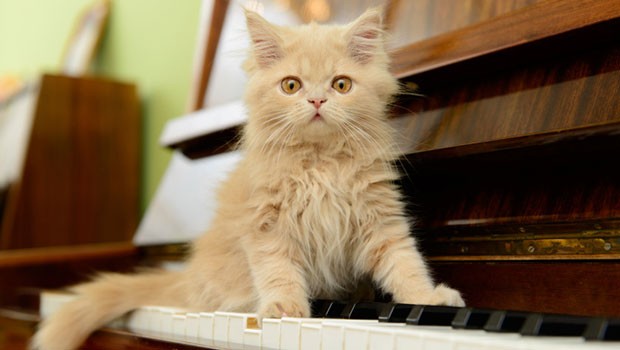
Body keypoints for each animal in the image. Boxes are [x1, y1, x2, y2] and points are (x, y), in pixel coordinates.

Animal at [31, 8, 462, 350]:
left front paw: (429, 299)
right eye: (291, 85)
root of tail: (187, 276)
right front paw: (285, 308)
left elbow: (405, 264)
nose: (317, 101)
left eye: (341, 84)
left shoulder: (379, 217)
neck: (318, 162)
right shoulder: (265, 223)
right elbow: (278, 269)